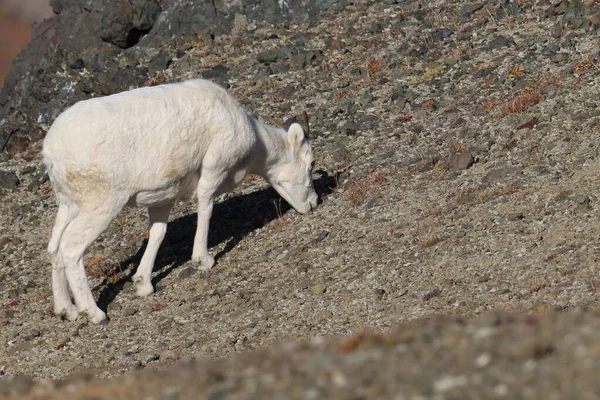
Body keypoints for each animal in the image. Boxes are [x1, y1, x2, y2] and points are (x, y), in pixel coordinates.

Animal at [42, 79, 318, 324]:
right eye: (311, 163)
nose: (314, 203)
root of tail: (51, 151)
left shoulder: (162, 198)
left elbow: (158, 233)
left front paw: (143, 284)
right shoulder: (214, 170)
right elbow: (206, 207)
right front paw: (203, 261)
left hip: (68, 205)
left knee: (54, 247)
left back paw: (67, 311)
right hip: (100, 207)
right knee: (71, 248)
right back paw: (96, 315)